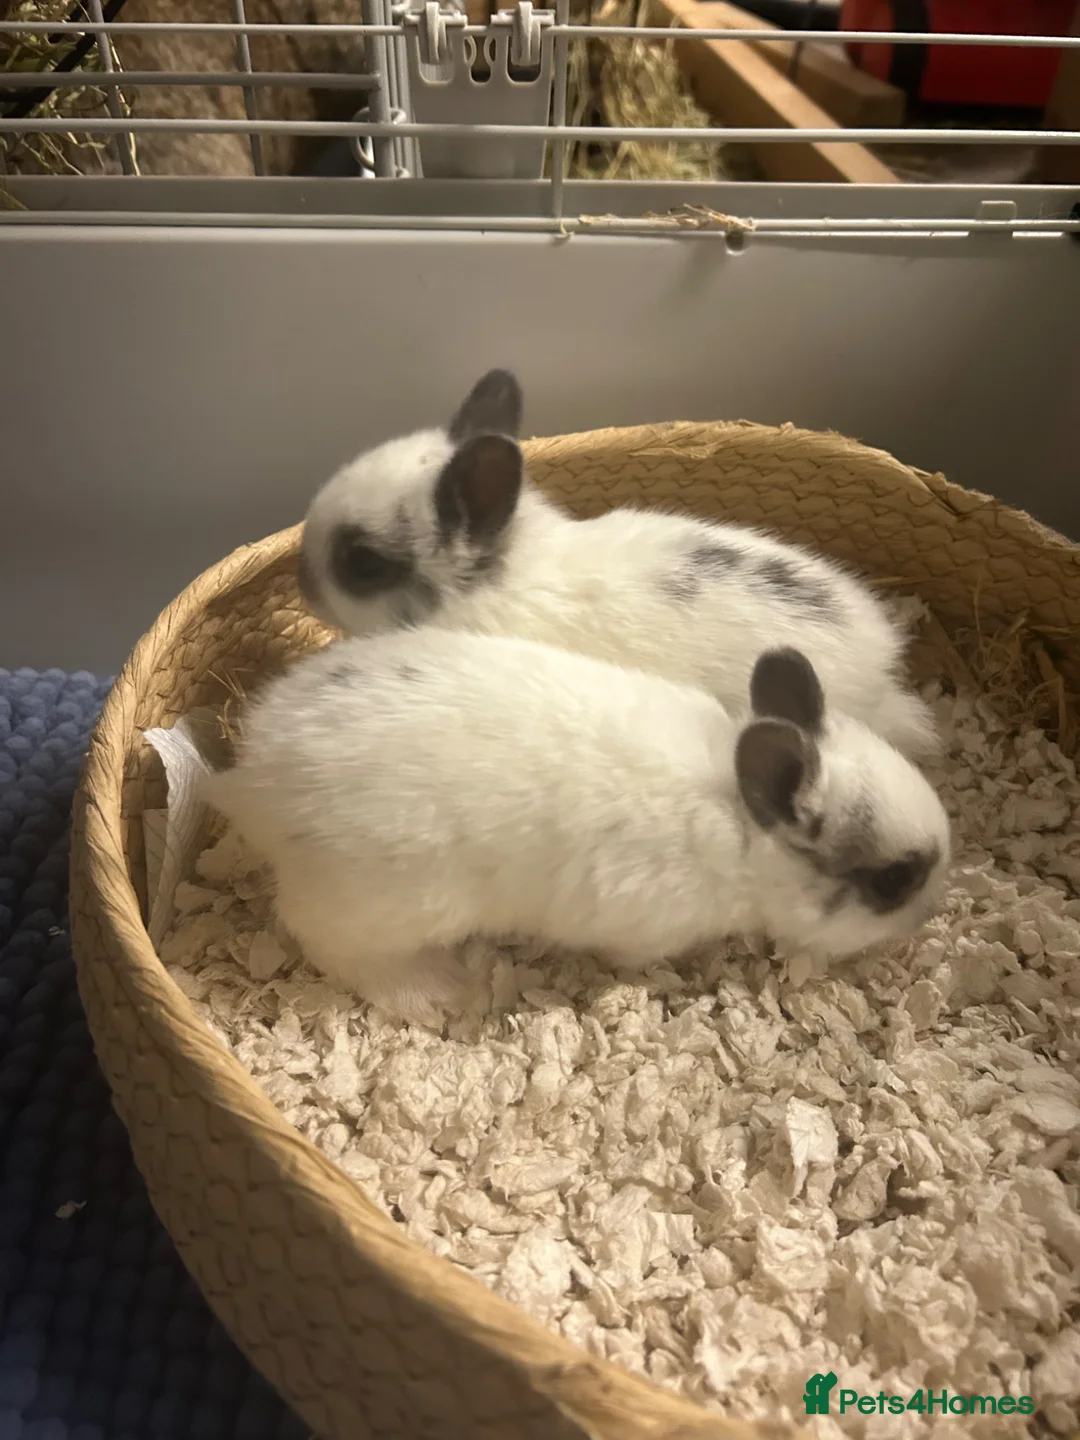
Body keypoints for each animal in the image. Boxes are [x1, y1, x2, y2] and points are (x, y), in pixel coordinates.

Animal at [203, 634, 951, 1028]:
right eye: (894, 879)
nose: (933, 909)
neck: (742, 828)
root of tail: (253, 782)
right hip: (383, 910)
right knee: (336, 949)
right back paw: (443, 992)